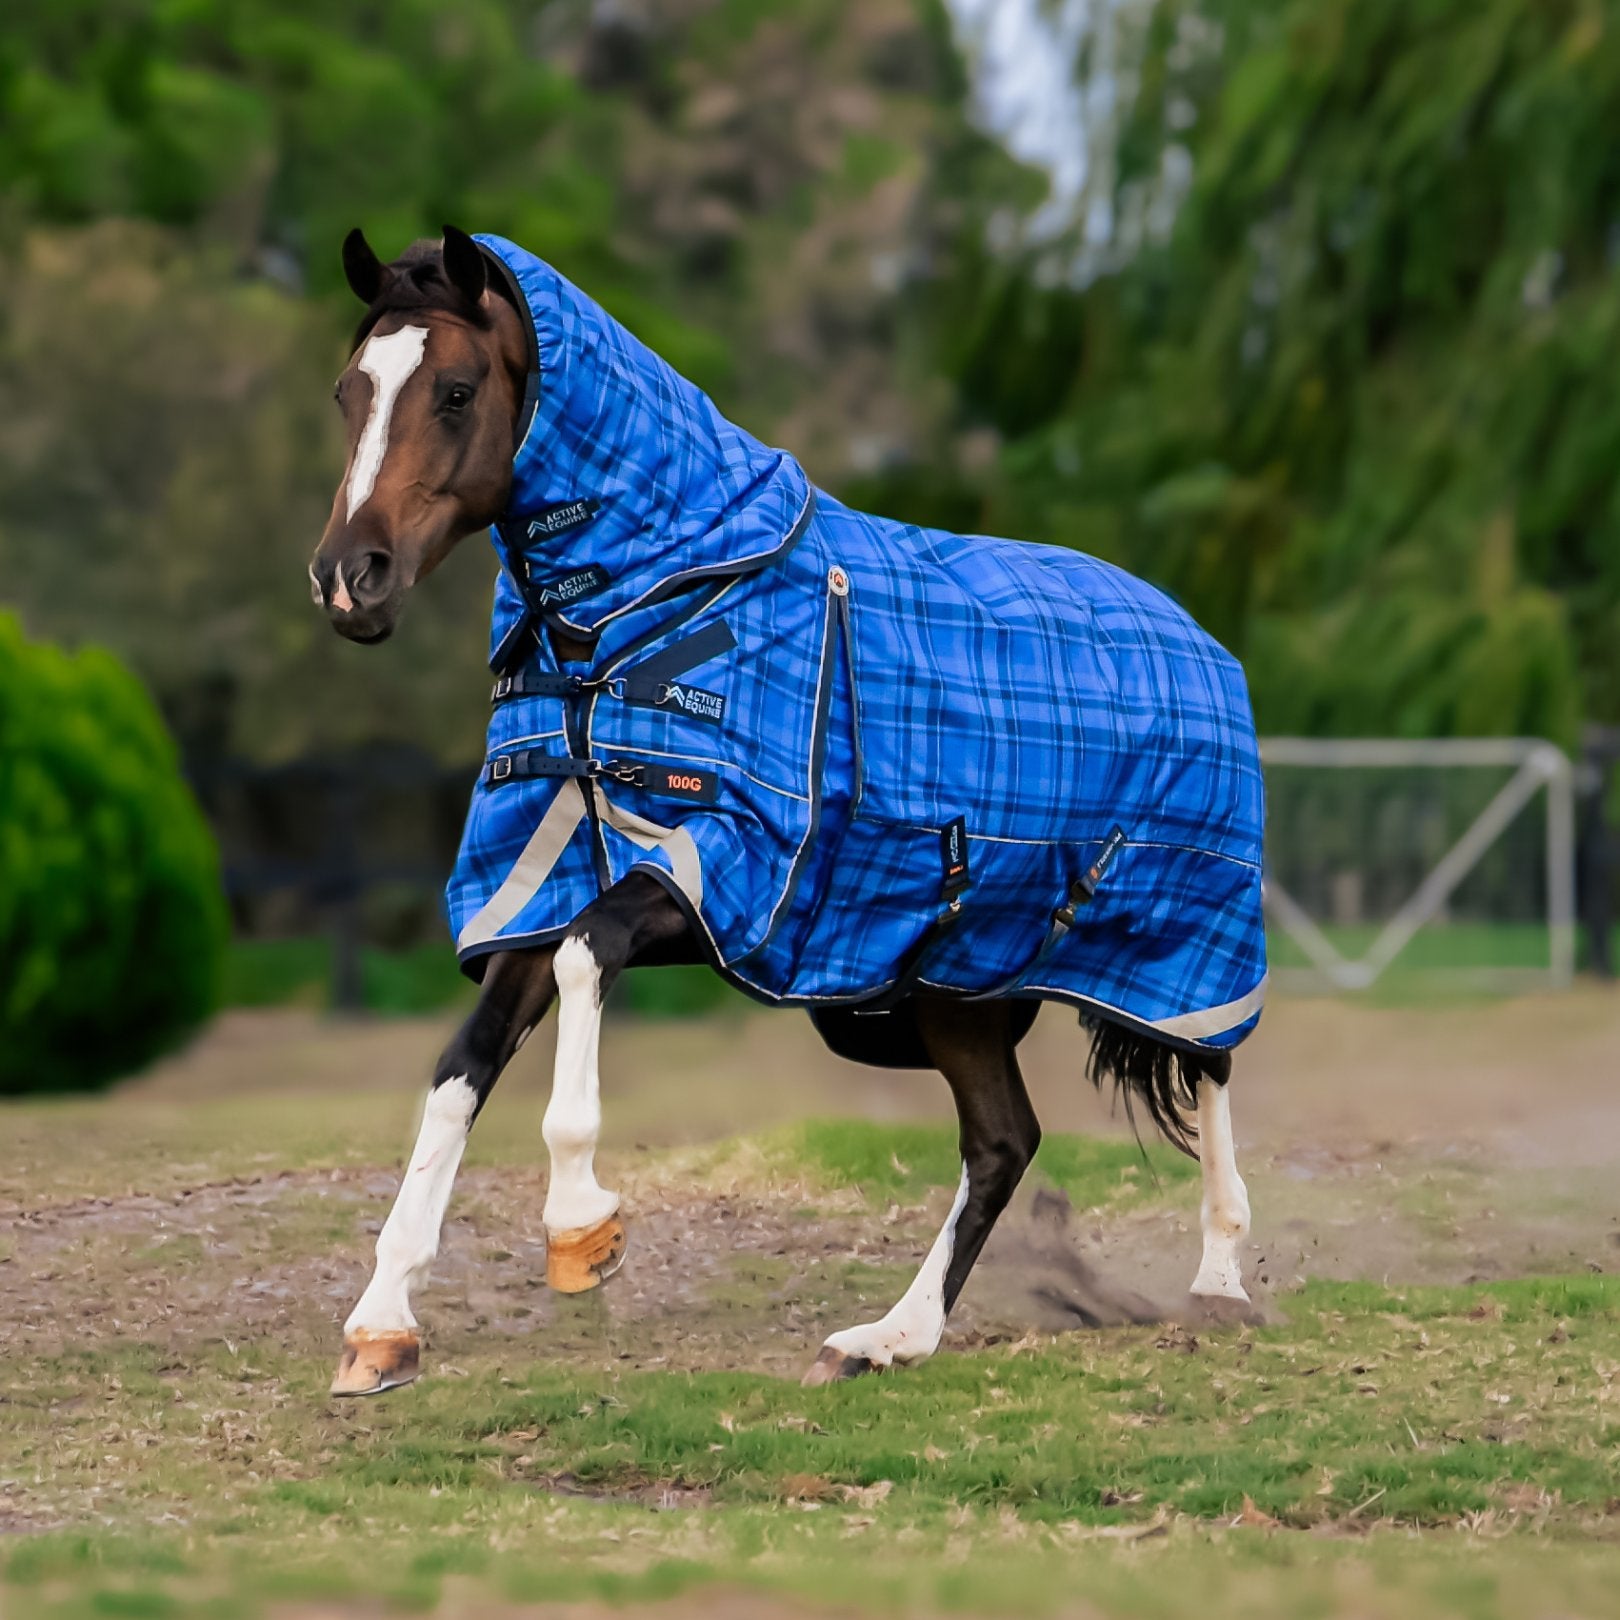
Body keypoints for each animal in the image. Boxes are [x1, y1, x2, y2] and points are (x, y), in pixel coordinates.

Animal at [308, 226, 1265, 1398]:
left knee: (1207, 1068)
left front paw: (581, 1227)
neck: (646, 610)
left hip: (1180, 945)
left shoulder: (720, 861)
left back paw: (1217, 1281)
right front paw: (380, 1326)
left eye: (453, 390)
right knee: (1004, 1142)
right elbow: (459, 1074)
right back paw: (889, 1338)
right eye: (350, 390)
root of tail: (1195, 633)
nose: (348, 578)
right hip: (947, 980)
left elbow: (588, 959)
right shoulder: (538, 877)